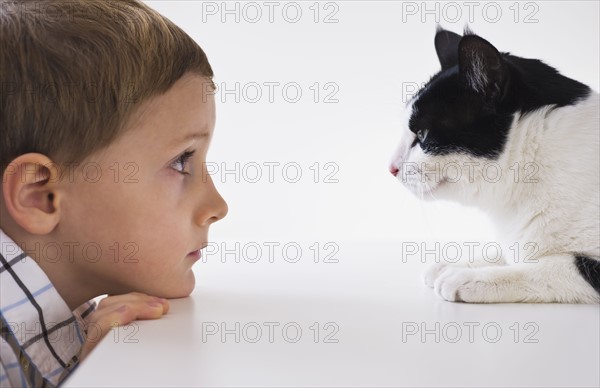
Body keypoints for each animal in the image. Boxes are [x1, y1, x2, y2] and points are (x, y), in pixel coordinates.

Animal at [390, 27, 600, 304]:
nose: (391, 167)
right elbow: (505, 252)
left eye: (422, 135)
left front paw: (470, 277)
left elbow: (555, 265)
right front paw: (458, 264)